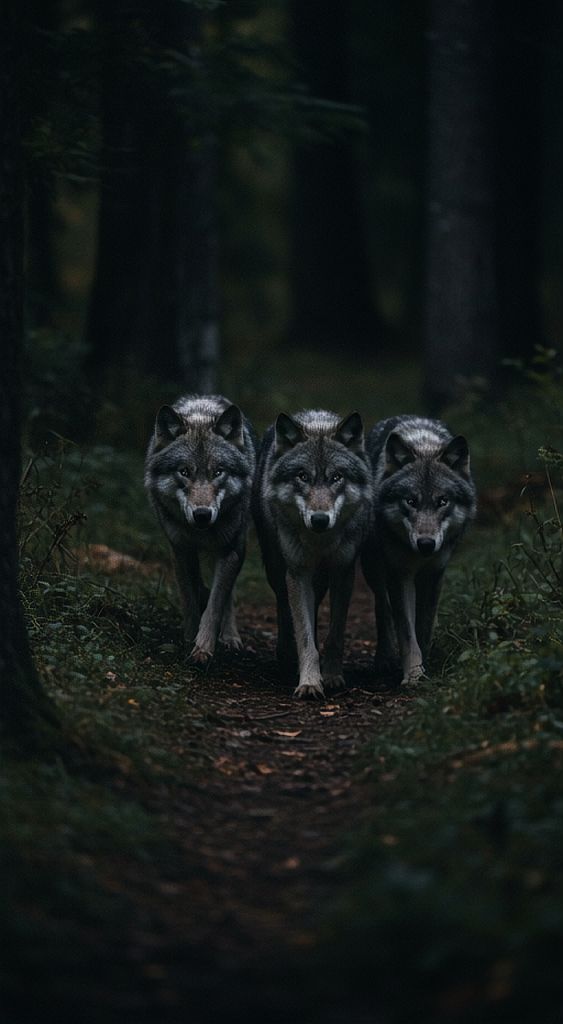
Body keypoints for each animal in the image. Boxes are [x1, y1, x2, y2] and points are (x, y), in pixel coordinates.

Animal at [145, 394, 256, 663]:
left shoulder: (230, 551)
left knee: (229, 596)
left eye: (218, 472)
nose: (202, 515)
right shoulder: (180, 551)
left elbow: (216, 604)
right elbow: (189, 597)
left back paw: (230, 637)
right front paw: (188, 638)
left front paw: (204, 647)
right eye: (184, 472)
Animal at [252, 409, 373, 698]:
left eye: (336, 477)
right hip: (277, 569)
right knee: (284, 606)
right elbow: (305, 636)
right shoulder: (297, 573)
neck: (321, 542)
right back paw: (286, 656)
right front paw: (309, 682)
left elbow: (336, 634)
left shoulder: (343, 573)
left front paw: (331, 676)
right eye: (303, 476)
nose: (319, 520)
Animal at [361, 415, 476, 686]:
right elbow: (406, 630)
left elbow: (423, 625)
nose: (426, 544)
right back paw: (383, 659)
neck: (424, 445)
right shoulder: (399, 574)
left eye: (442, 501)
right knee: (382, 608)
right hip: (373, 568)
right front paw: (413, 674)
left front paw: (426, 665)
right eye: (410, 501)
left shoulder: (434, 574)